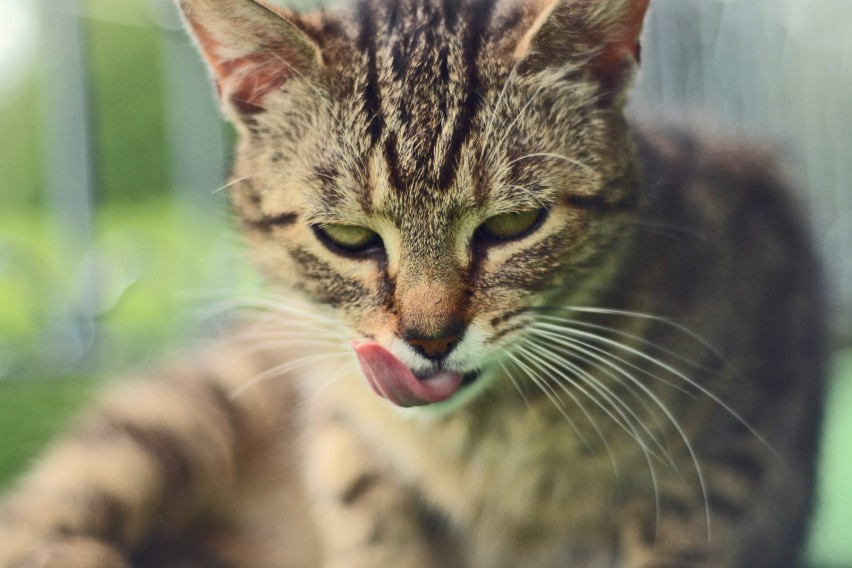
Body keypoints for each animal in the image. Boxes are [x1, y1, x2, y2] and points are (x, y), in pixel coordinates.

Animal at [0, 0, 828, 564]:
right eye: (346, 238)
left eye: (512, 224)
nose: (430, 339)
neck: (485, 446)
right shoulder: (344, 435)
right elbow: (374, 526)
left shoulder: (731, 449)